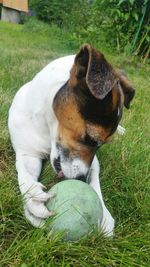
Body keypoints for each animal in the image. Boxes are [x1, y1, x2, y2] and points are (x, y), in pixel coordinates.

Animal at [8, 45, 135, 238]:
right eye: (90, 138)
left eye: (100, 145)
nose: (82, 179)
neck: (48, 128)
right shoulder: (27, 154)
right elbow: (24, 173)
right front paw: (33, 199)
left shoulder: (93, 163)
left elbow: (95, 180)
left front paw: (104, 216)